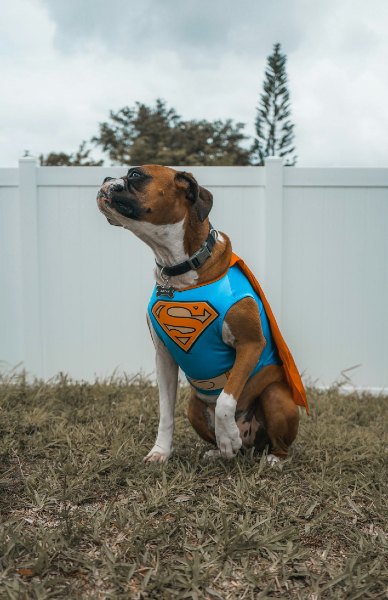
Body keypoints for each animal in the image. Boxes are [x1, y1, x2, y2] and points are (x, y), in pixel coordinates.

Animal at [98, 166, 310, 466]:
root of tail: (253, 444)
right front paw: (161, 452)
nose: (106, 179)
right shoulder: (164, 356)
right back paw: (218, 451)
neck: (180, 269)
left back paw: (270, 458)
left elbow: (225, 399)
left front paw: (228, 437)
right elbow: (165, 411)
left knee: (276, 441)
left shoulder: (250, 345)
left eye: (136, 175)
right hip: (193, 407)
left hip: (275, 395)